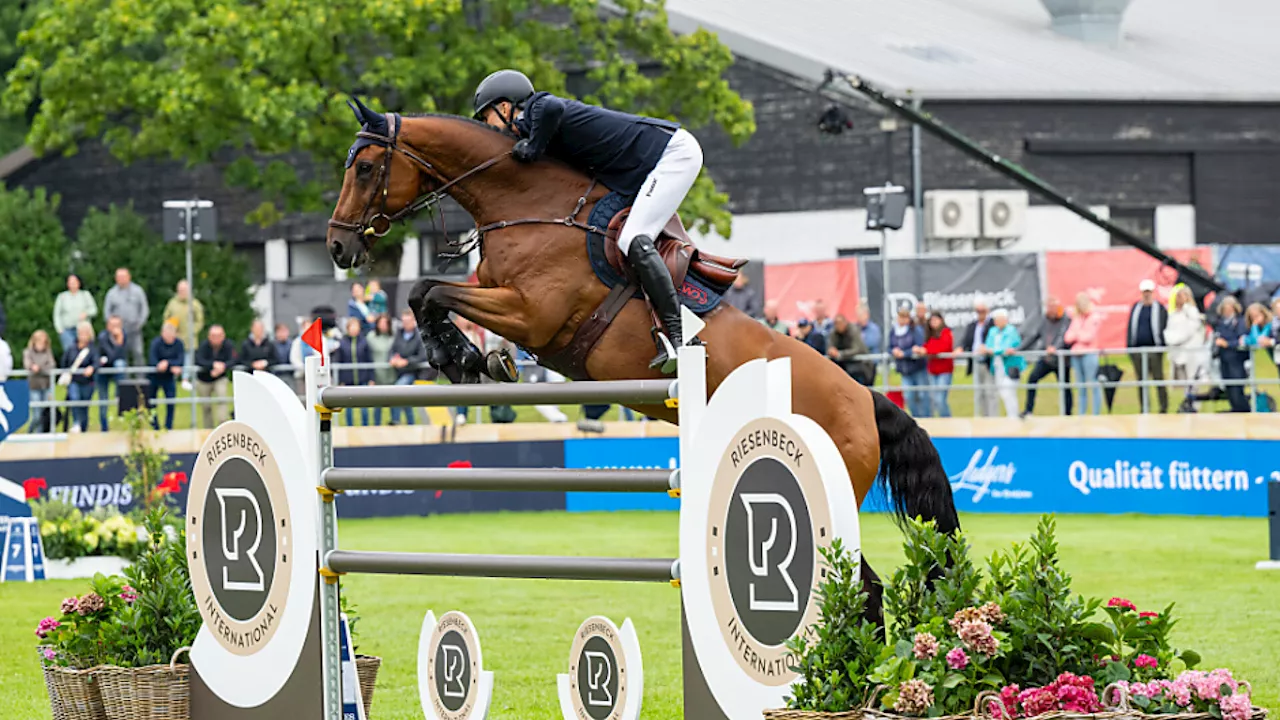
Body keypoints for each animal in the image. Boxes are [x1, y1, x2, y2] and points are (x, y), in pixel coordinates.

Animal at [325, 102, 957, 622]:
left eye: (365, 168)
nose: (337, 246)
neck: (527, 207)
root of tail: (865, 399)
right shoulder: (498, 295)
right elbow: (424, 293)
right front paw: (469, 357)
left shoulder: (531, 313)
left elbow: (432, 291)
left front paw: (462, 356)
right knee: (861, 589)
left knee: (858, 587)